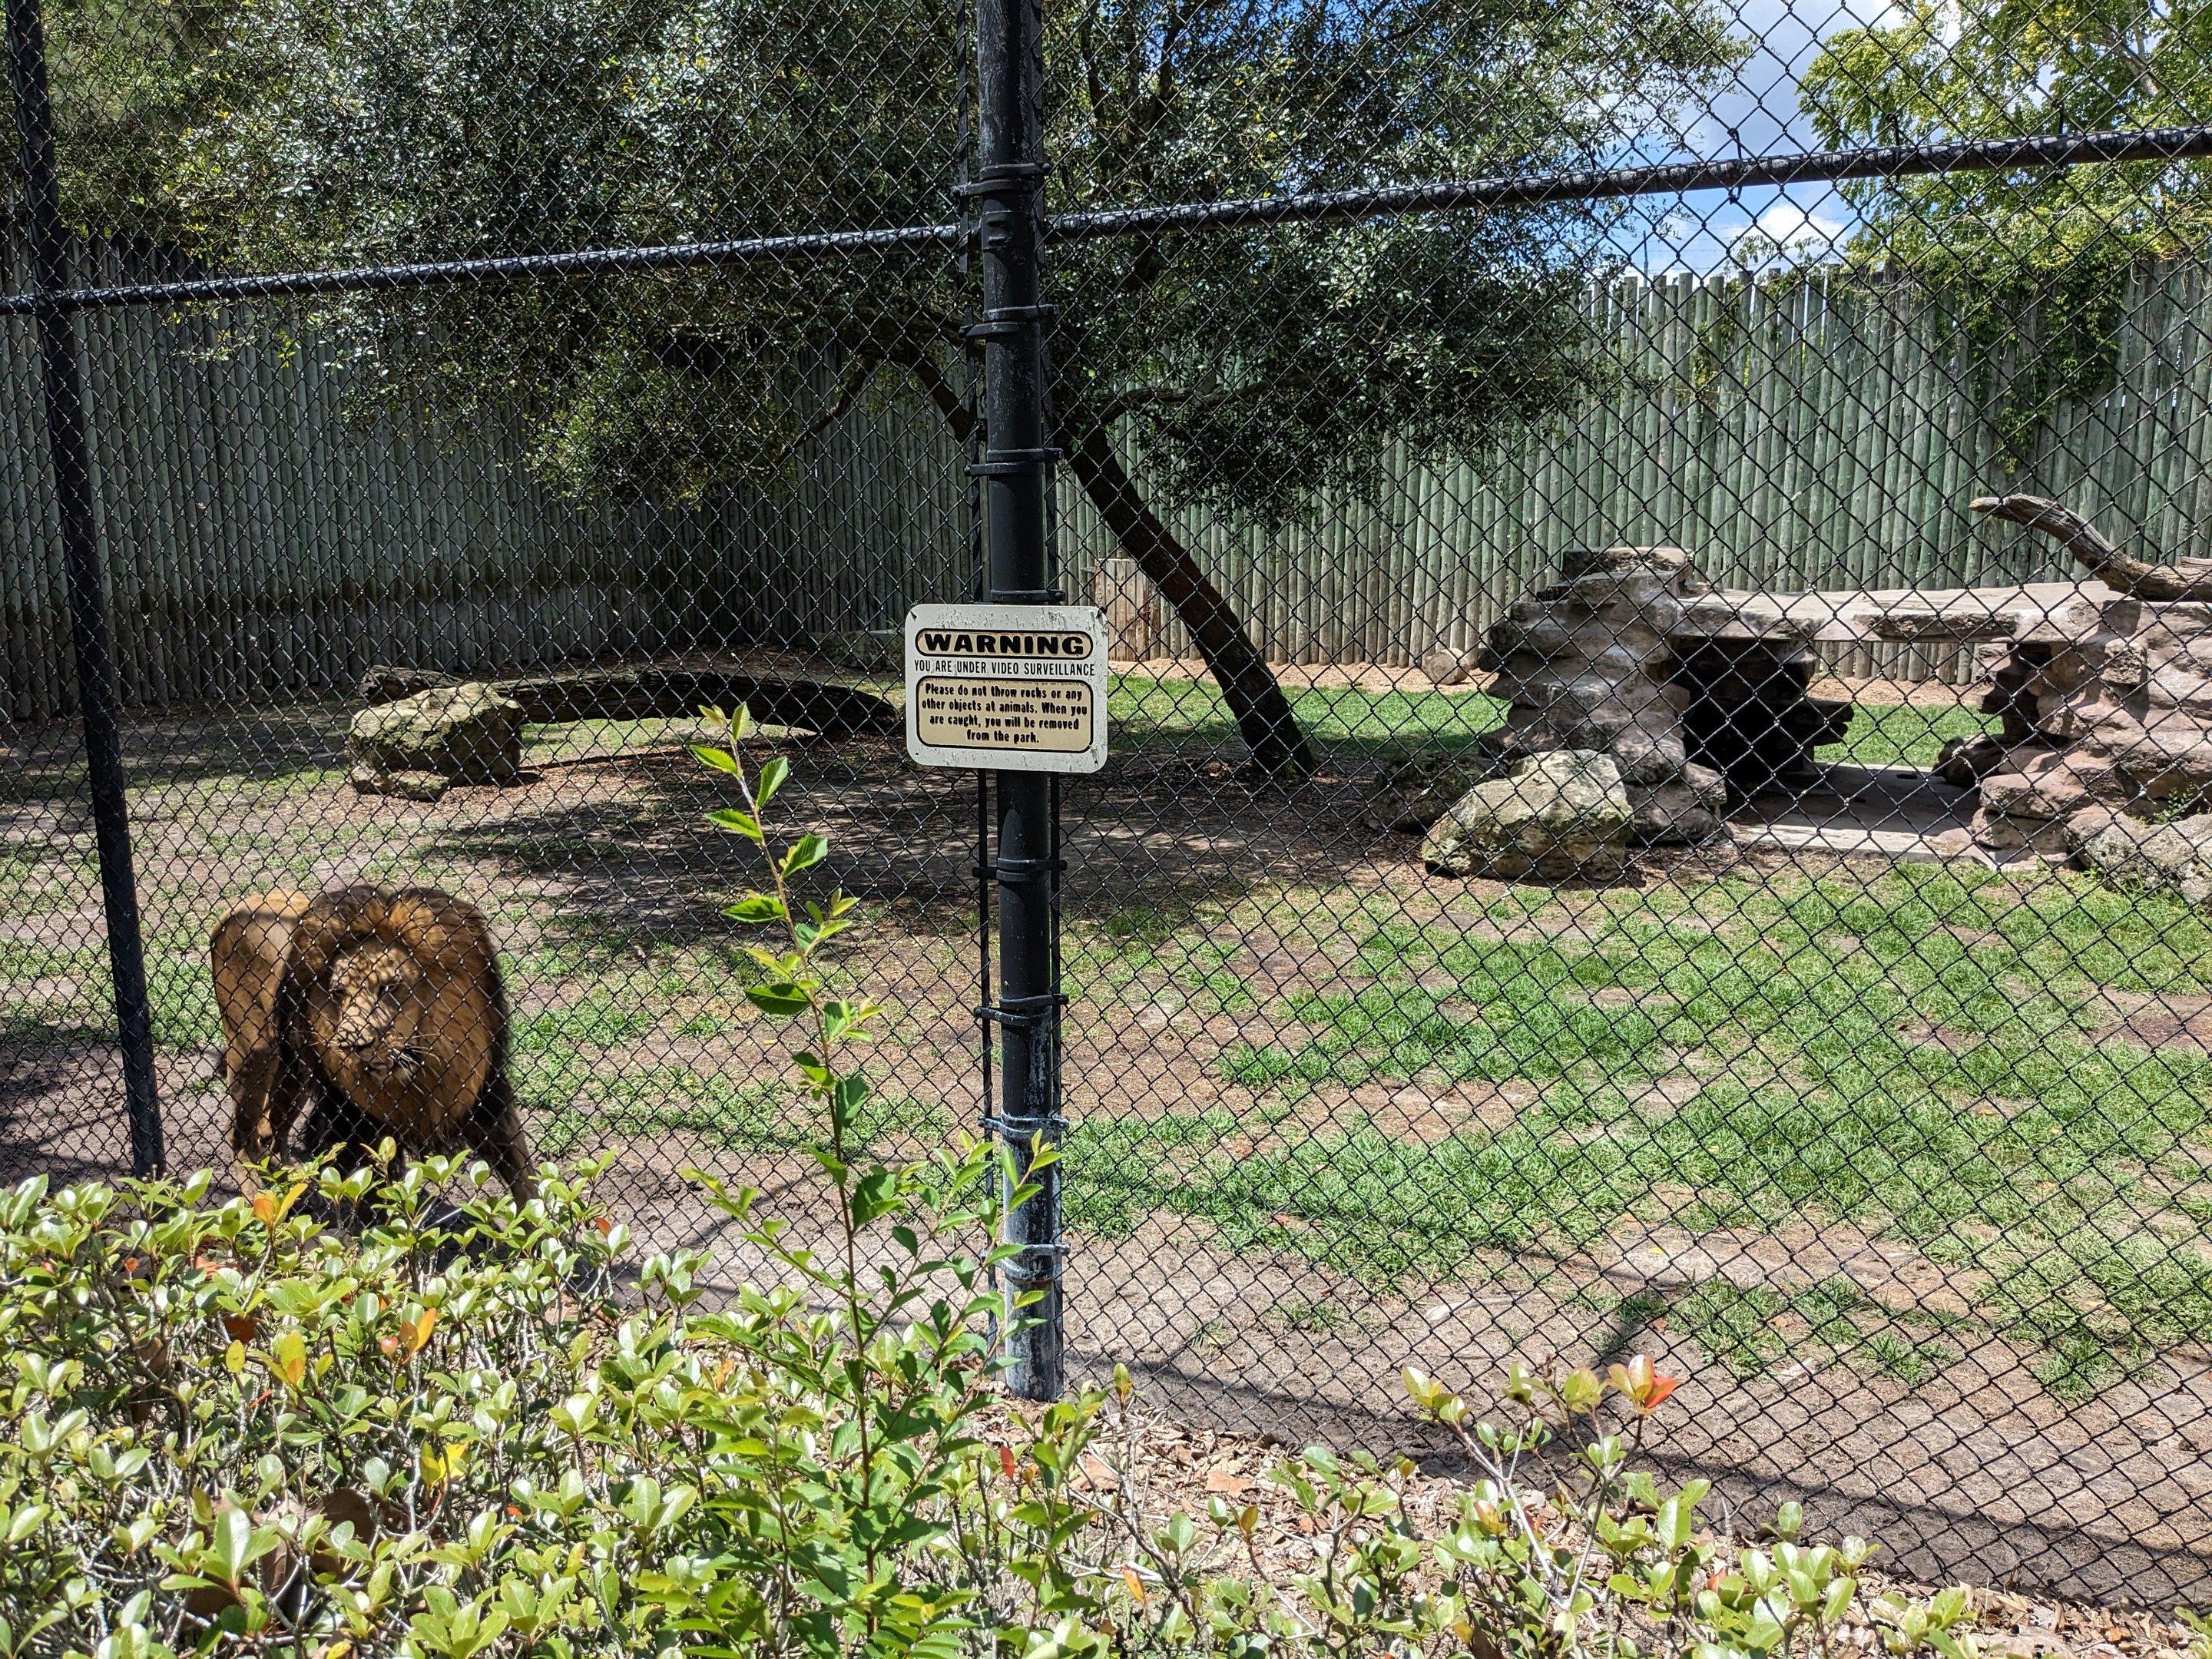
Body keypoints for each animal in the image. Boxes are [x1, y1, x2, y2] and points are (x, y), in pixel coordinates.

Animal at [210, 885, 535, 1203]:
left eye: (390, 987)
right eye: (339, 992)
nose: (351, 1044)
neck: (421, 1075)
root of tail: (240, 905)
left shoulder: (487, 1099)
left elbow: (528, 1183)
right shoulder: (357, 1126)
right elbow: (370, 1202)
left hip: (293, 1073)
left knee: (269, 1131)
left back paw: (293, 1186)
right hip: (254, 1050)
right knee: (239, 1133)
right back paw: (259, 1198)